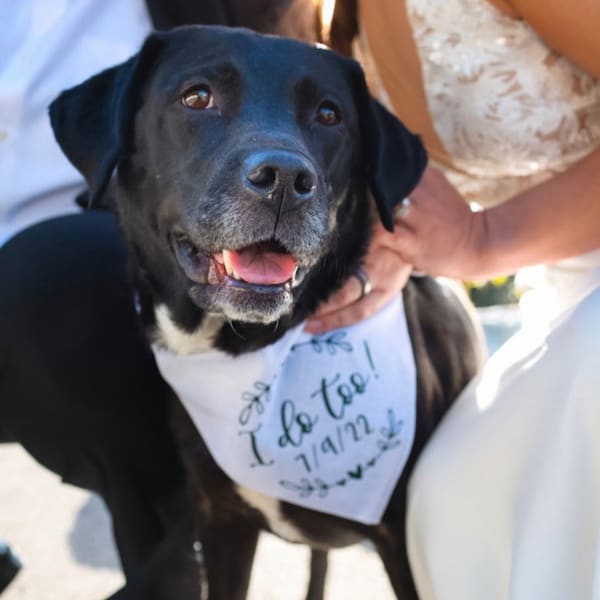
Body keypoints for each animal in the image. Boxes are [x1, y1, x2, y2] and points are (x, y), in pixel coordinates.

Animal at [51, 27, 482, 600]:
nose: (284, 179)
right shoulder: (219, 522)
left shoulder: (402, 535)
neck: (247, 352)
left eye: (329, 114)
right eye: (197, 96)